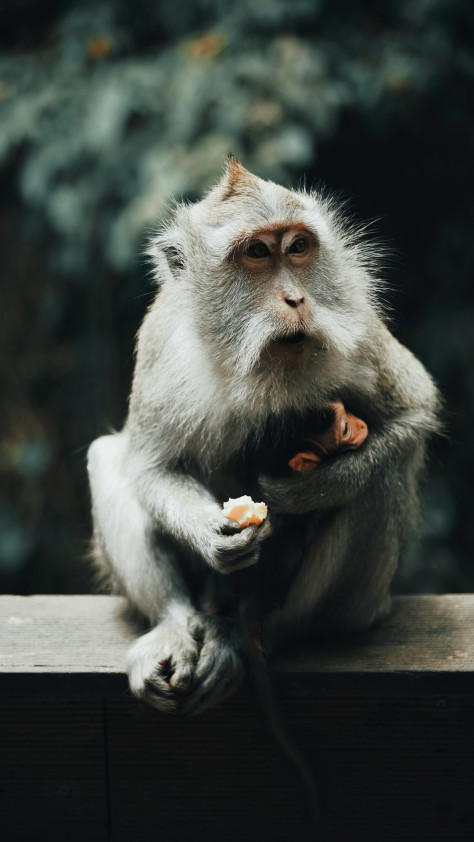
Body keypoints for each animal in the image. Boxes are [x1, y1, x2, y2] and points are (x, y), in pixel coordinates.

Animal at [88, 156, 436, 716]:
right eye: (256, 252)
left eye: (297, 247)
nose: (296, 298)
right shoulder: (163, 340)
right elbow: (151, 465)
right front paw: (213, 534)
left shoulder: (357, 326)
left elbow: (414, 412)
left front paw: (301, 493)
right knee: (106, 456)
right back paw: (174, 625)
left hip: (352, 609)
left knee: (382, 479)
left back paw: (266, 633)